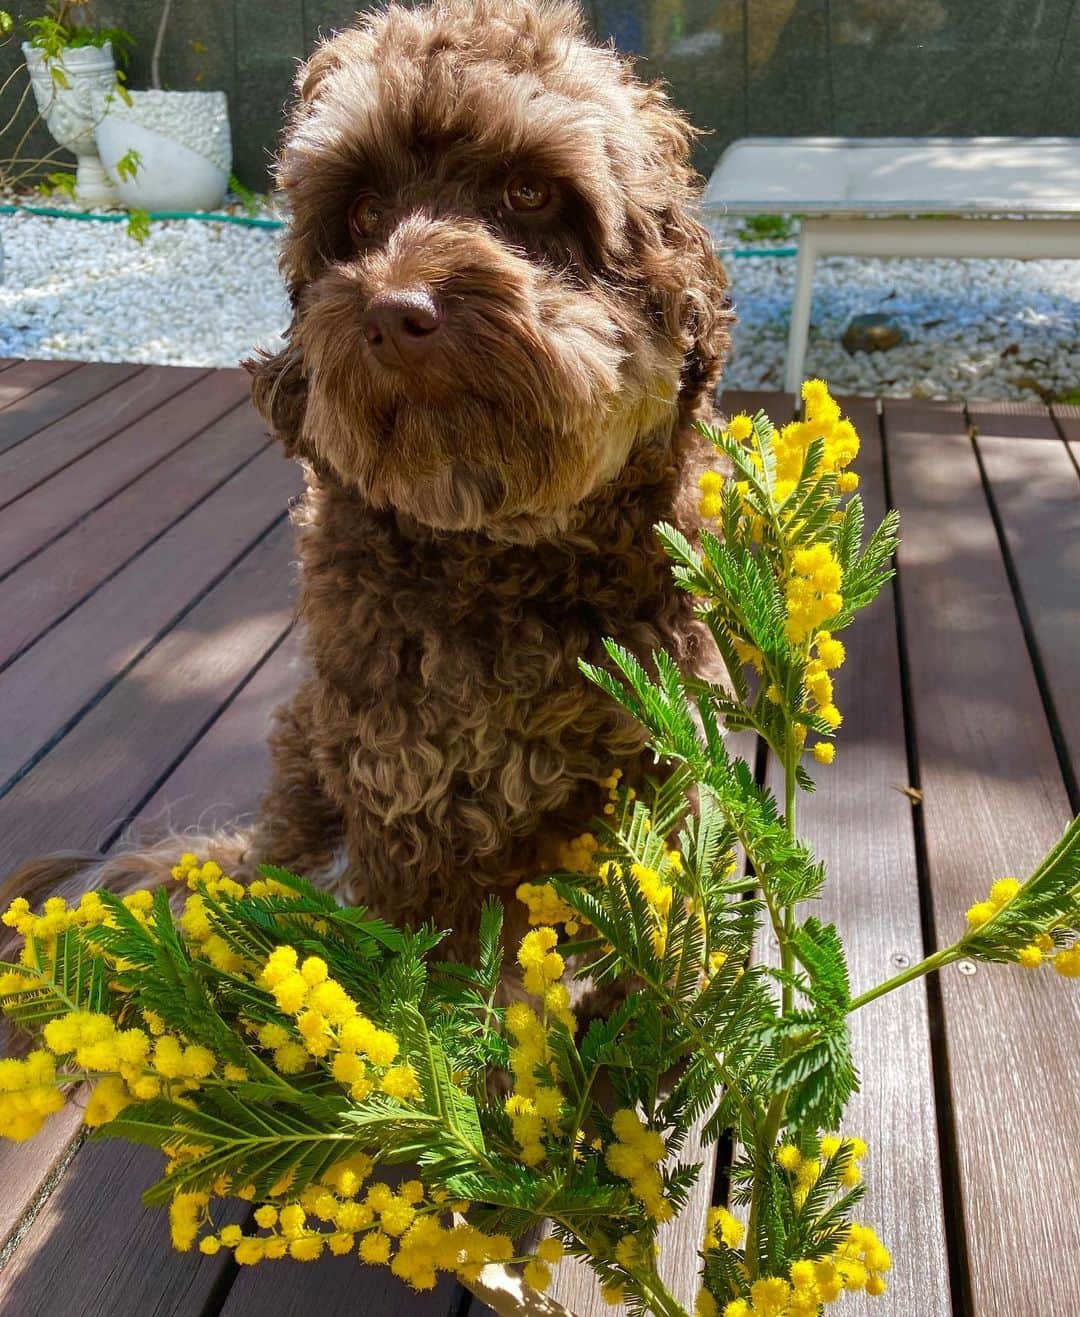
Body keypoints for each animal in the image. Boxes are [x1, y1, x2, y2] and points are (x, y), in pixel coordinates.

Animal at [0, 0, 732, 964]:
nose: (394, 312)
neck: (496, 548)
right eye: (366, 208)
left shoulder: (656, 765)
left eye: (530, 194)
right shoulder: (401, 787)